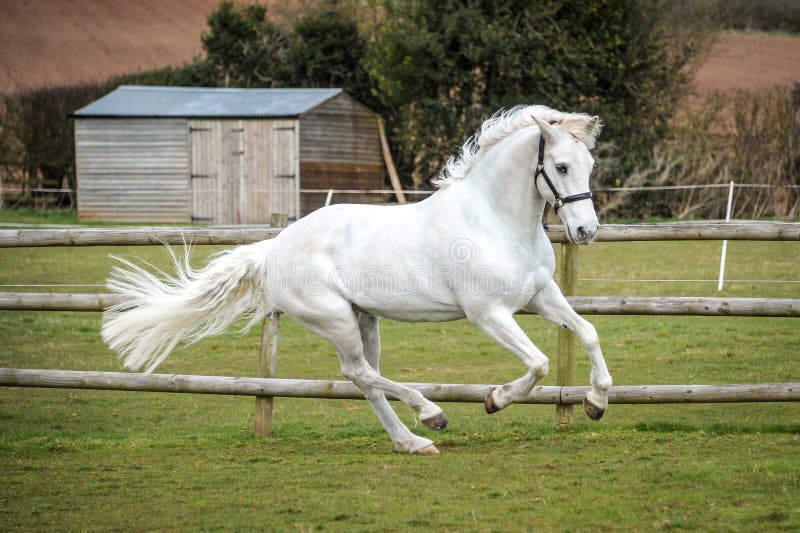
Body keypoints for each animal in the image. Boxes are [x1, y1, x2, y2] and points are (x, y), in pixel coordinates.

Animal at [102, 105, 613, 455]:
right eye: (561, 167)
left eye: (589, 165)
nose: (586, 232)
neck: (493, 220)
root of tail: (275, 248)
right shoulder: (488, 314)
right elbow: (539, 364)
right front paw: (495, 400)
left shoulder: (541, 296)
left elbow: (588, 332)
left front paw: (596, 402)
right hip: (335, 319)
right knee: (359, 372)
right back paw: (431, 415)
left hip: (365, 319)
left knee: (366, 378)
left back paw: (412, 442)